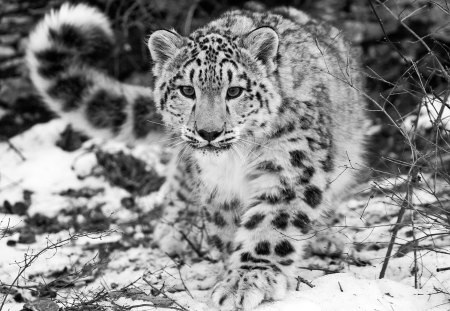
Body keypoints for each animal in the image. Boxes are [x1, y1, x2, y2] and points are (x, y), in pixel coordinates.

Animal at [27, 3, 366, 311]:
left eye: (235, 91)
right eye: (187, 90)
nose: (209, 132)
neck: (236, 161)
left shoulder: (289, 166)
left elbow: (270, 225)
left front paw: (247, 280)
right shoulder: (217, 186)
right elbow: (226, 230)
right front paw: (229, 272)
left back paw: (326, 237)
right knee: (179, 177)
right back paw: (176, 230)